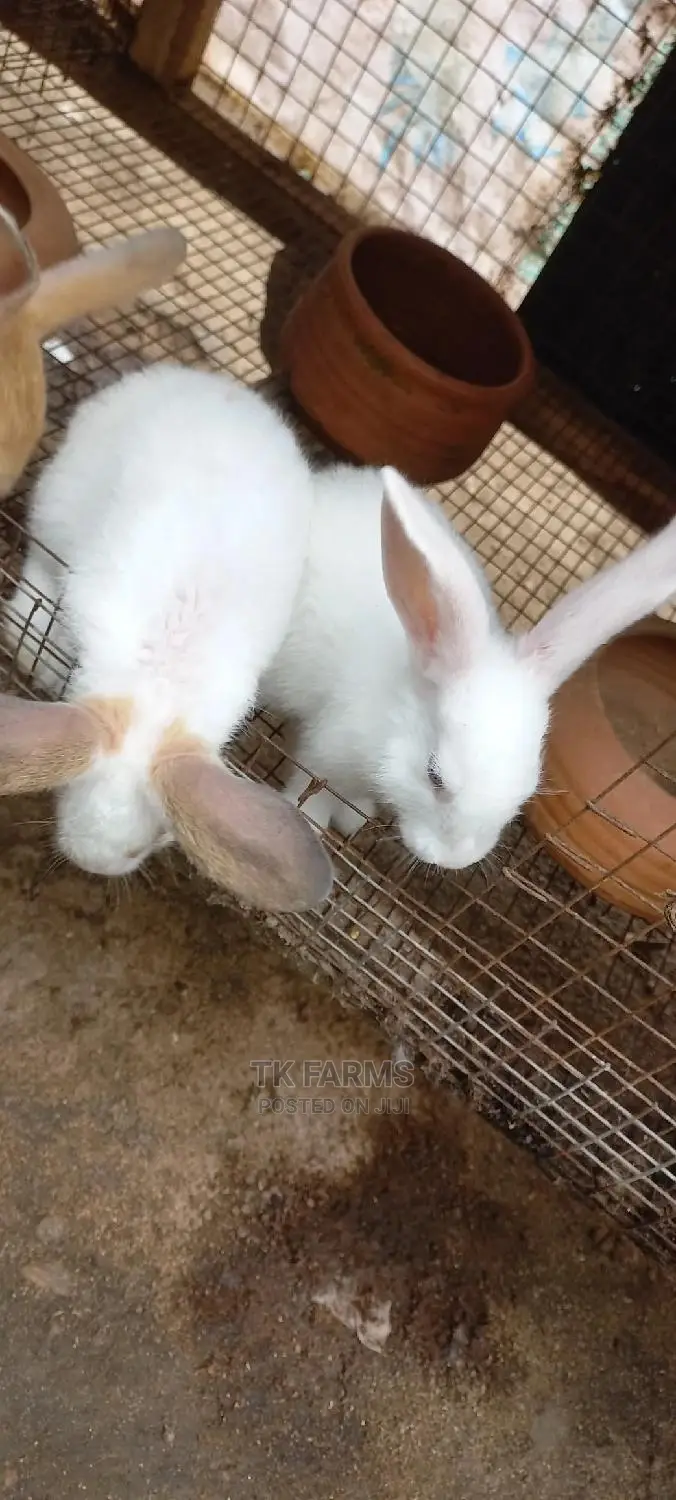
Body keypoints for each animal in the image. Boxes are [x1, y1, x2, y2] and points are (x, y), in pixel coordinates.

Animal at [0, 361, 333, 912]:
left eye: (158, 835)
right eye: (67, 788)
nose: (93, 862)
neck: (156, 689)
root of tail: (208, 383)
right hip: (56, 505)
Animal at [260, 462, 676, 871]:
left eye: (526, 789)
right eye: (434, 776)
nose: (455, 860)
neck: (392, 715)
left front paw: (354, 816)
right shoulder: (326, 752)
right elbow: (311, 789)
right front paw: (311, 824)